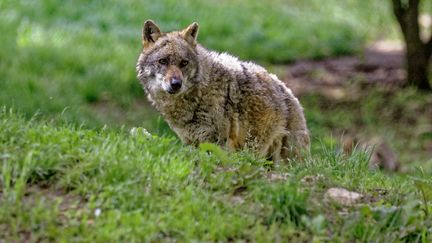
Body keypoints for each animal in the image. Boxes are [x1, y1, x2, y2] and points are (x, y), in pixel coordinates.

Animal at [137, 20, 308, 161]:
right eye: (163, 61)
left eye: (184, 63)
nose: (176, 84)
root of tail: (288, 91)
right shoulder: (191, 142)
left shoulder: (218, 142)